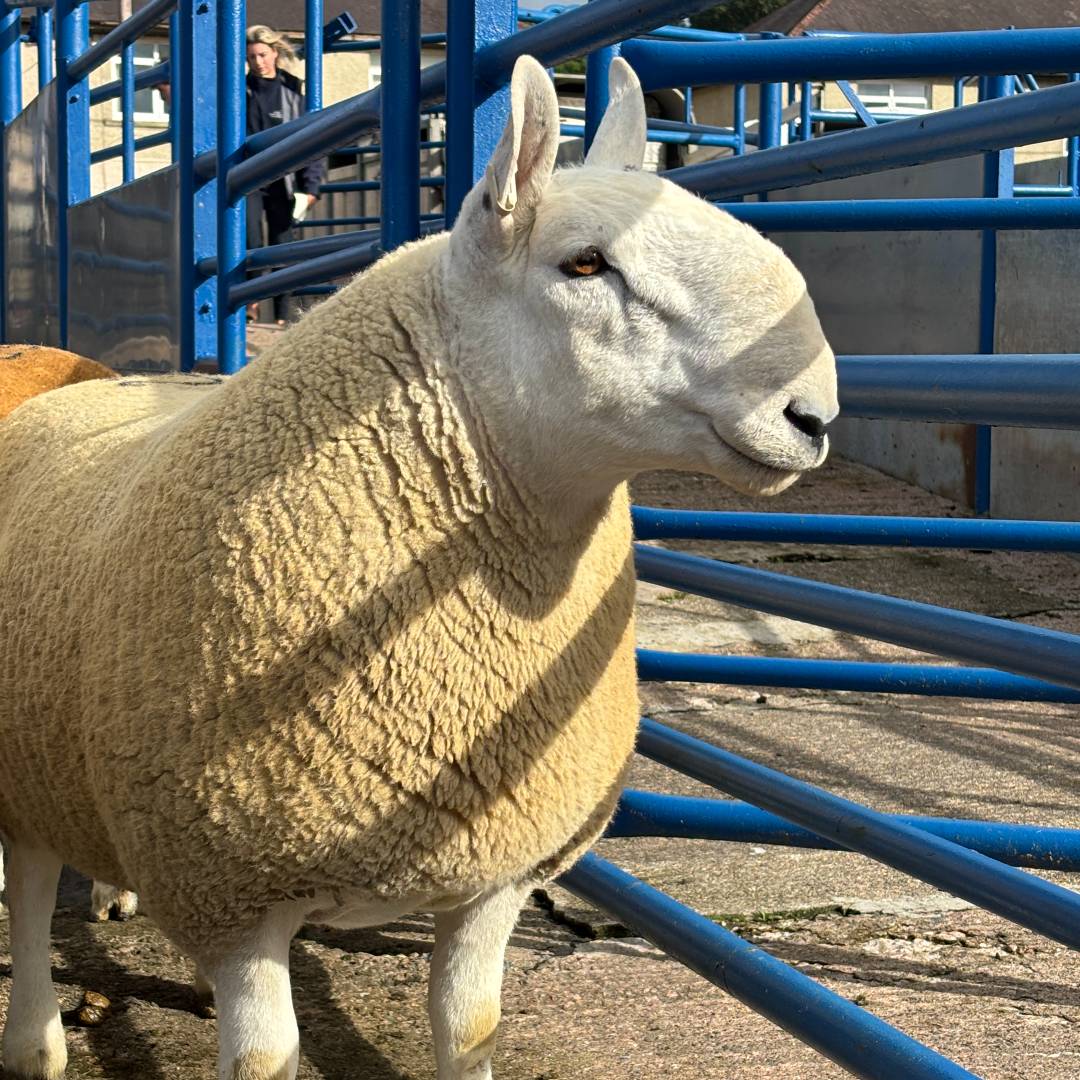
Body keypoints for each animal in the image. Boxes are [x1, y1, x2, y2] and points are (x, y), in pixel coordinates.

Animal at [0, 55, 837, 1080]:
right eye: (584, 263)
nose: (814, 414)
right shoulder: (229, 888)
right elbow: (263, 1059)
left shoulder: (494, 873)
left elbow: (469, 1026)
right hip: (24, 764)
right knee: (29, 884)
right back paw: (35, 1038)